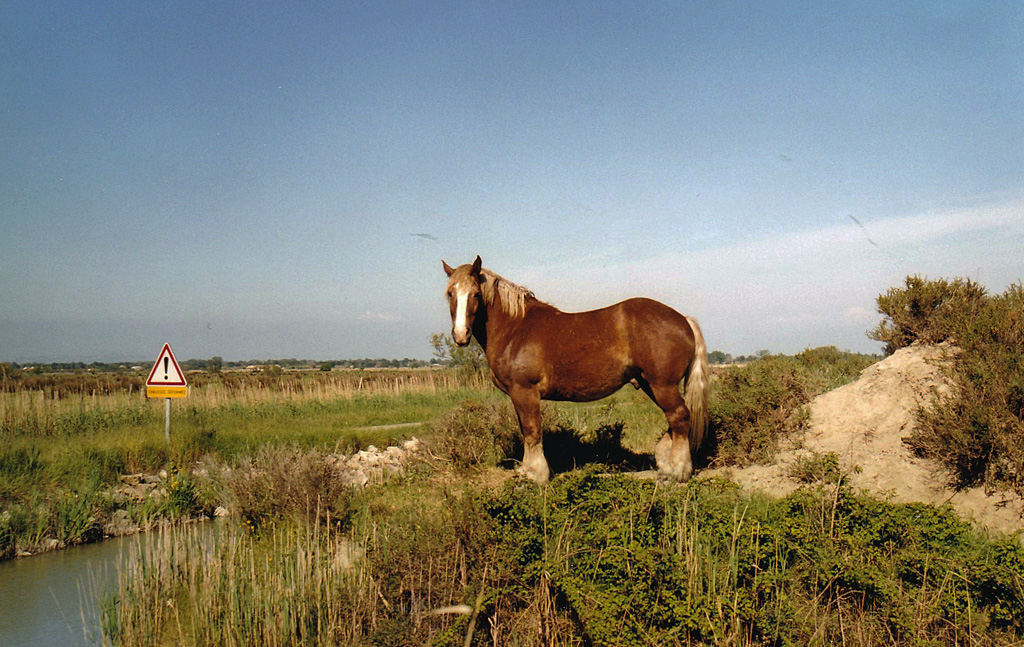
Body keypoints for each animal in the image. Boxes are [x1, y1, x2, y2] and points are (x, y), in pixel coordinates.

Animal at [440, 254, 704, 483]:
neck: (515, 328)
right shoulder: (517, 395)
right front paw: (526, 470)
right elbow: (525, 431)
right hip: (650, 383)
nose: (461, 335)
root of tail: (683, 320)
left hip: (662, 385)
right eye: (450, 293)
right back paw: (666, 462)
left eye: (475, 294)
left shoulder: (524, 392)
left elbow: (532, 431)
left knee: (679, 416)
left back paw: (678, 470)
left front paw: (536, 474)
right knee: (674, 418)